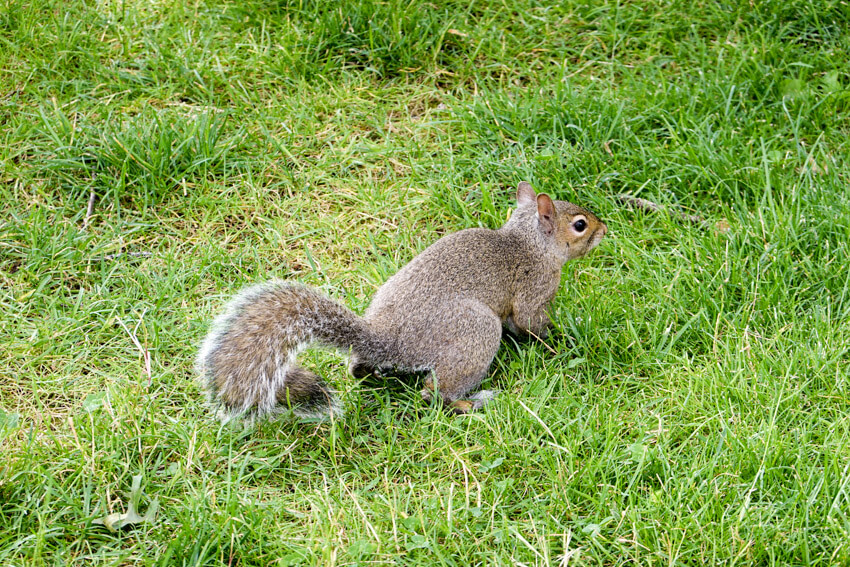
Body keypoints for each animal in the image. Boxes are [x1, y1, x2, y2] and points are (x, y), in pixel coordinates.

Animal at [195, 182, 608, 422]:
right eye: (580, 225)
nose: (605, 228)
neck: (529, 242)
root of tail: (390, 340)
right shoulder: (534, 290)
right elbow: (530, 323)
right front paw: (560, 341)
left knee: (362, 368)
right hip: (475, 332)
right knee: (434, 394)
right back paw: (471, 403)